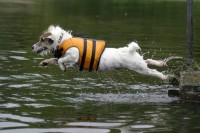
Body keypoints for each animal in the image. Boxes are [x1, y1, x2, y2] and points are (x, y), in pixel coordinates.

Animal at [32, 25, 172, 80]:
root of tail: (130, 51)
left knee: (153, 72)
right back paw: (161, 63)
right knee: (147, 60)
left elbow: (60, 60)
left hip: (140, 68)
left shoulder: (73, 56)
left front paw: (62, 68)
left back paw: (165, 77)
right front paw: (45, 62)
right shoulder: (68, 58)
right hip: (139, 64)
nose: (32, 47)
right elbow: (55, 59)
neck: (62, 41)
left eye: (42, 40)